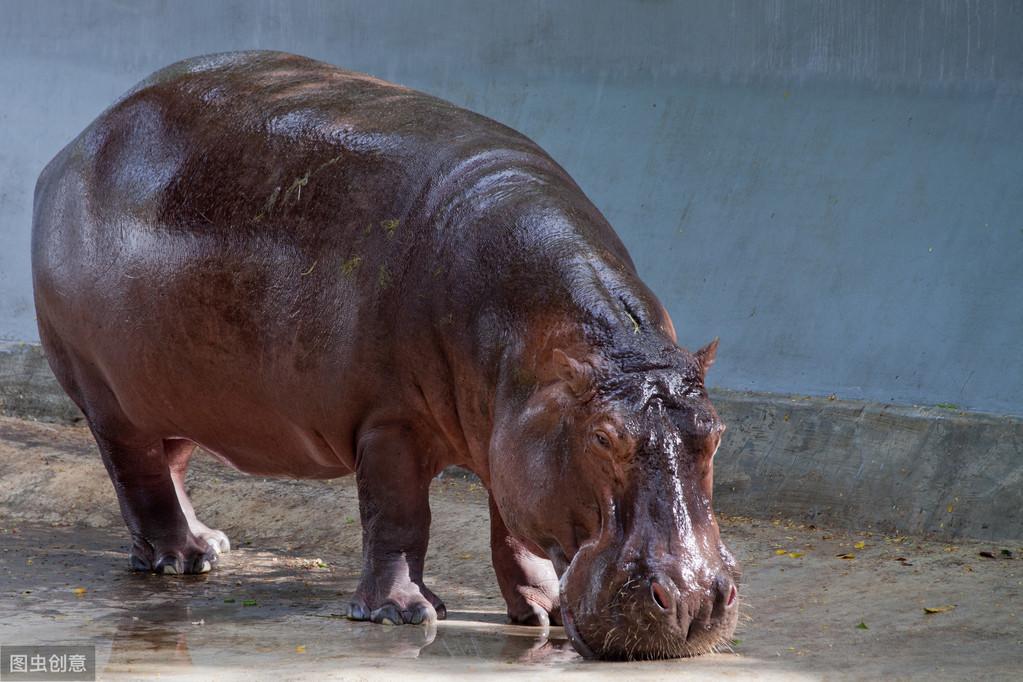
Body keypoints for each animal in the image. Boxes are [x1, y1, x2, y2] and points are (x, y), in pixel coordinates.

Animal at [29, 50, 736, 658]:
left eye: (716, 432)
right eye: (604, 437)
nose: (694, 602)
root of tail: (72, 146)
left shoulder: (507, 432)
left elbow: (512, 527)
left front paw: (541, 612)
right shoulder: (389, 421)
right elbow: (399, 517)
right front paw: (404, 613)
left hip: (169, 387)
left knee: (172, 457)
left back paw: (210, 544)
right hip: (107, 397)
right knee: (137, 472)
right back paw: (178, 560)